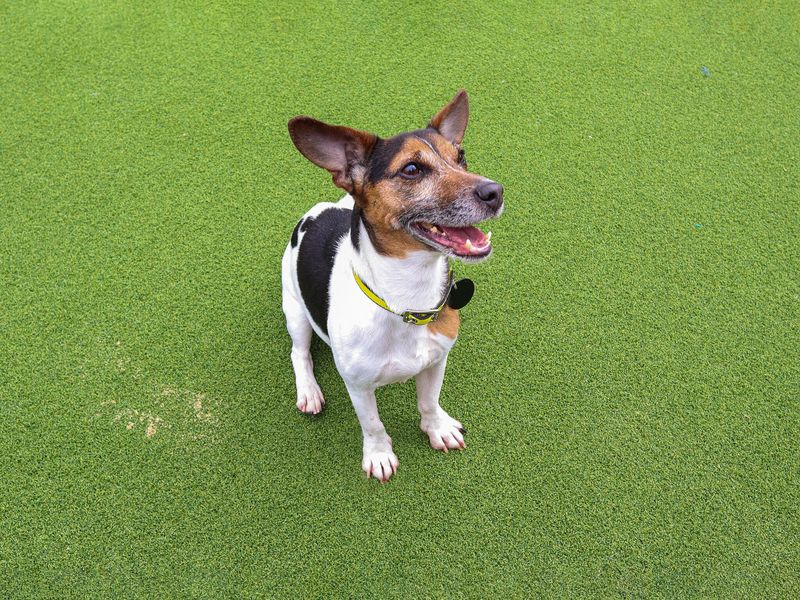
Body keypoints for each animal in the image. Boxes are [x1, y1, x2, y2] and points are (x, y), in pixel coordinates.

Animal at [284, 90, 504, 482]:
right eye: (412, 169)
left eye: (461, 157)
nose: (496, 191)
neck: (407, 301)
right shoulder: (357, 386)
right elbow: (372, 424)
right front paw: (379, 454)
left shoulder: (437, 360)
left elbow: (429, 402)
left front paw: (437, 429)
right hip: (293, 308)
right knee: (300, 353)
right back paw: (309, 390)